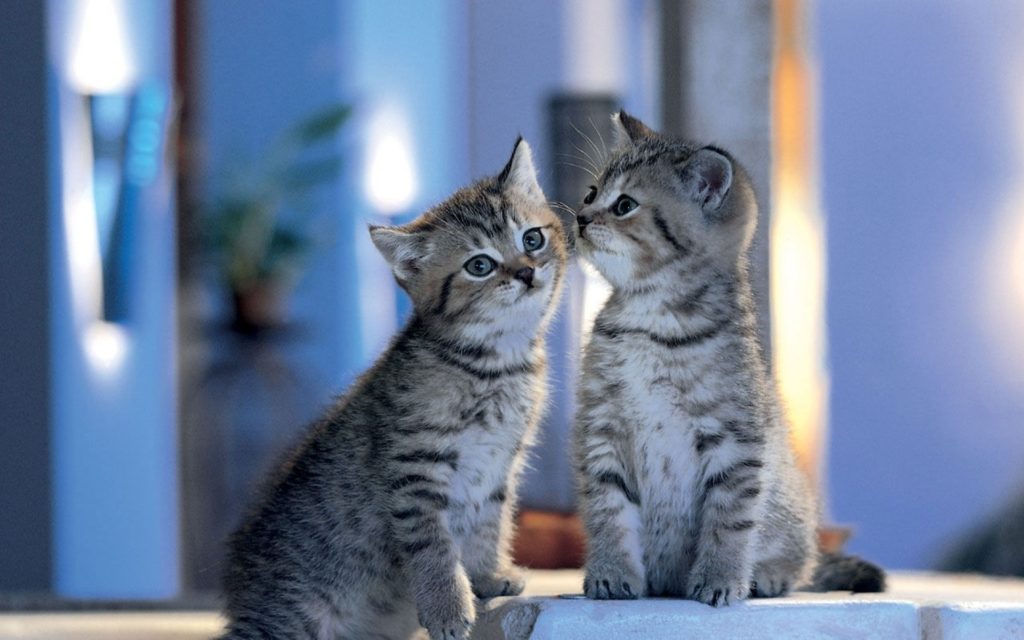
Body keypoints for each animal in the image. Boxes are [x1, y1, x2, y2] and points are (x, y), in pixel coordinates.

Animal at [221, 139, 569, 638]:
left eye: (532, 239)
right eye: (480, 265)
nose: (525, 272)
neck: (496, 365)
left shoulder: (499, 468)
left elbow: (490, 525)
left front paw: (487, 576)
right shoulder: (414, 468)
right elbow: (434, 546)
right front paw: (448, 609)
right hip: (288, 622)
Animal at [573, 112, 884, 606]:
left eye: (624, 204)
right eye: (590, 192)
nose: (581, 217)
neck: (653, 320)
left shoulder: (735, 441)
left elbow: (730, 520)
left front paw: (719, 578)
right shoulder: (601, 428)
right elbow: (607, 508)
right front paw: (610, 572)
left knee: (801, 563)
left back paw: (767, 575)